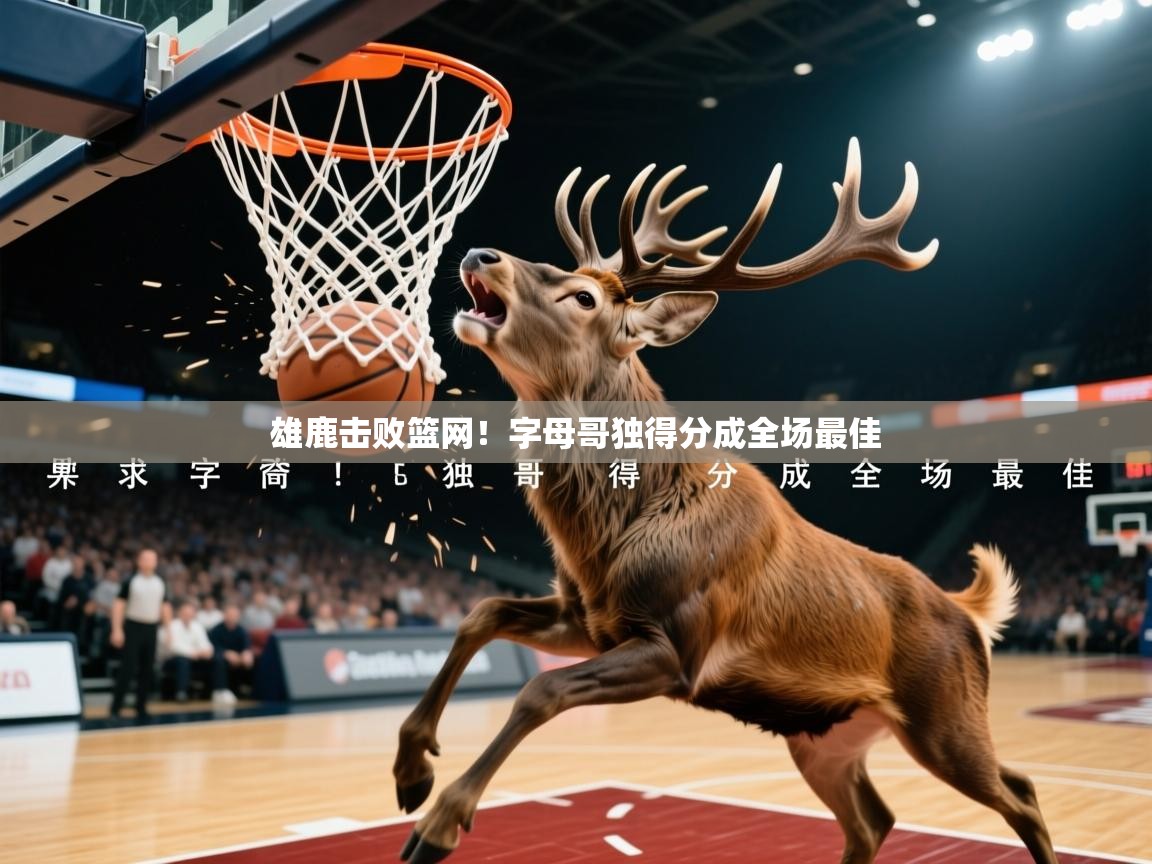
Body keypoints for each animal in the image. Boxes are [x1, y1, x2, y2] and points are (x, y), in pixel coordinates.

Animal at [392, 138, 1058, 864]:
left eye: (583, 296)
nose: (480, 252)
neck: (607, 536)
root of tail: (971, 615)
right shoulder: (588, 617)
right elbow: (479, 613)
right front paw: (411, 770)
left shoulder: (679, 642)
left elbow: (538, 690)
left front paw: (439, 824)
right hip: (826, 733)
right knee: (875, 817)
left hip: (945, 712)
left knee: (1021, 791)